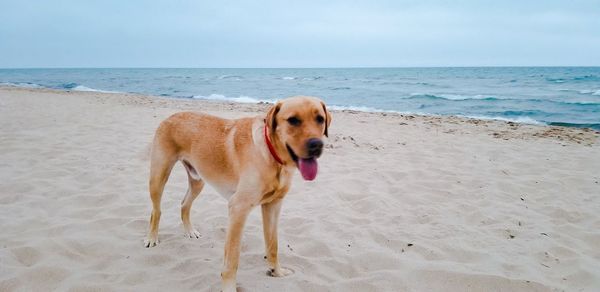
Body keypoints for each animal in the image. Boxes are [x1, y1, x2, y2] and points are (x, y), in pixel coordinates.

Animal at [145, 95, 332, 290]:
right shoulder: (238, 209)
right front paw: (229, 287)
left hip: (197, 181)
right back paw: (152, 238)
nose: (316, 145)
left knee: (184, 205)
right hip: (158, 177)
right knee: (156, 211)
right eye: (293, 120)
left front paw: (277, 272)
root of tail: (171, 116)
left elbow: (273, 245)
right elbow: (232, 258)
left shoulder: (273, 206)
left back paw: (190, 231)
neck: (272, 154)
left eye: (320, 119)